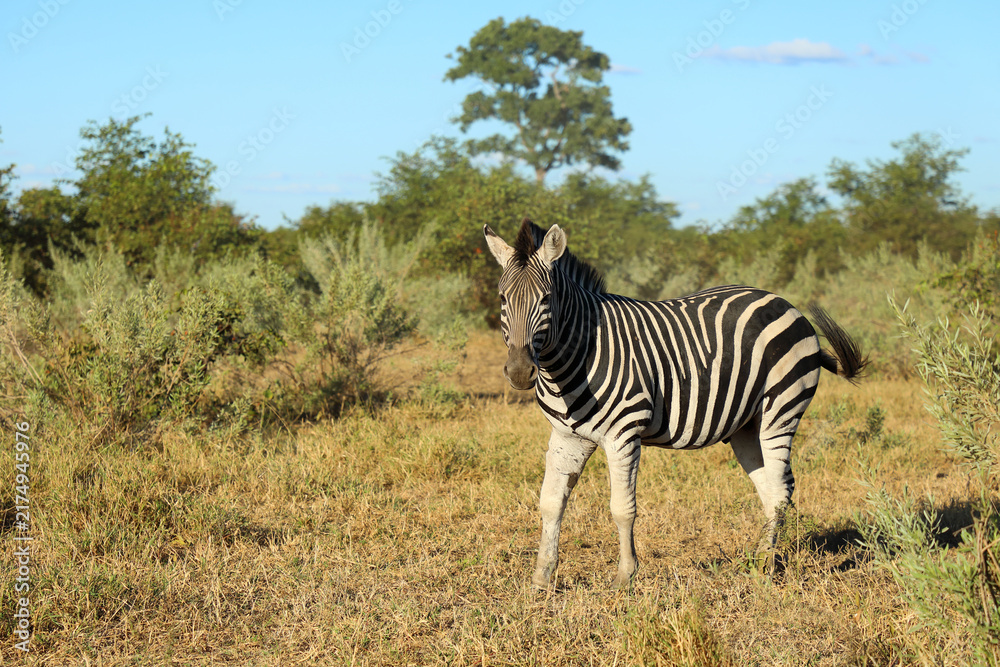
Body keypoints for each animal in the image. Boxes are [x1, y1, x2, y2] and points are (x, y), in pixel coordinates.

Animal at [483, 218, 868, 589]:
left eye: (546, 299)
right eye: (502, 299)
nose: (519, 372)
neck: (572, 359)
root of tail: (783, 302)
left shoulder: (623, 434)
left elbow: (622, 508)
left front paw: (625, 578)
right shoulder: (566, 436)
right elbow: (550, 502)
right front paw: (541, 578)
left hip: (781, 410)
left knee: (781, 489)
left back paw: (764, 567)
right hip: (748, 425)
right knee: (772, 488)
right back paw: (760, 561)